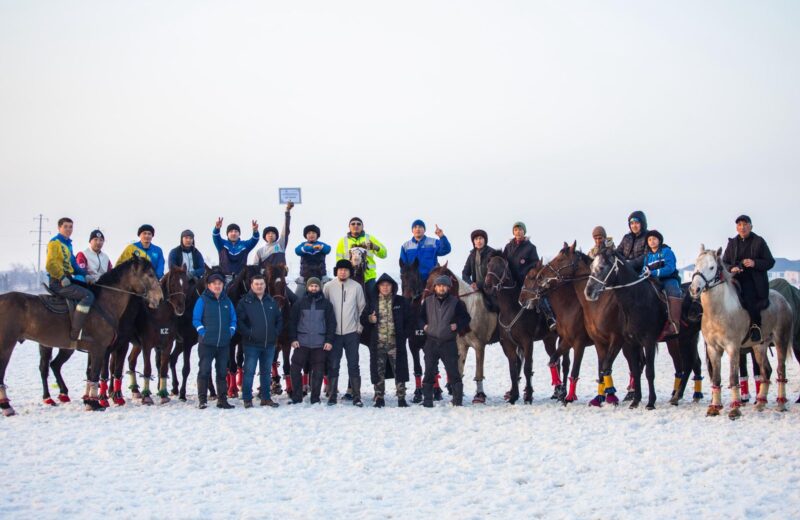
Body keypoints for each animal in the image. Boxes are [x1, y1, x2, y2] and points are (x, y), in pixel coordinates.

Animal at [0, 256, 163, 414]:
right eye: (150, 274)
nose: (160, 298)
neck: (105, 303)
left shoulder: (101, 350)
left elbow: (92, 374)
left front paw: (90, 400)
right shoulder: (99, 348)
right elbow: (96, 374)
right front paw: (94, 403)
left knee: (50, 366)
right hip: (8, 345)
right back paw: (9, 406)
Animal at [125, 266, 191, 404]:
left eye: (186, 284)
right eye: (173, 284)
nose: (180, 308)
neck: (159, 315)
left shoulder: (167, 345)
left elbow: (163, 368)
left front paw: (163, 395)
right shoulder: (147, 345)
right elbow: (147, 368)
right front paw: (146, 396)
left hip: (136, 344)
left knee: (131, 360)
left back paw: (135, 391)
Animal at [428, 264, 496, 402]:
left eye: (435, 281)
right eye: (428, 280)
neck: (470, 309)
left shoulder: (479, 346)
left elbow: (479, 372)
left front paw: (480, 395)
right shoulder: (462, 345)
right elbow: (459, 370)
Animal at [688, 246, 792, 420]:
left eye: (712, 267)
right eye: (696, 265)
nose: (694, 289)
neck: (718, 310)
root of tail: (784, 300)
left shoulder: (732, 348)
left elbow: (733, 378)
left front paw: (735, 409)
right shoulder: (713, 349)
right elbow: (716, 378)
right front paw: (714, 408)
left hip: (781, 341)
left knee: (780, 369)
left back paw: (781, 403)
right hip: (759, 346)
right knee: (766, 371)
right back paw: (760, 403)